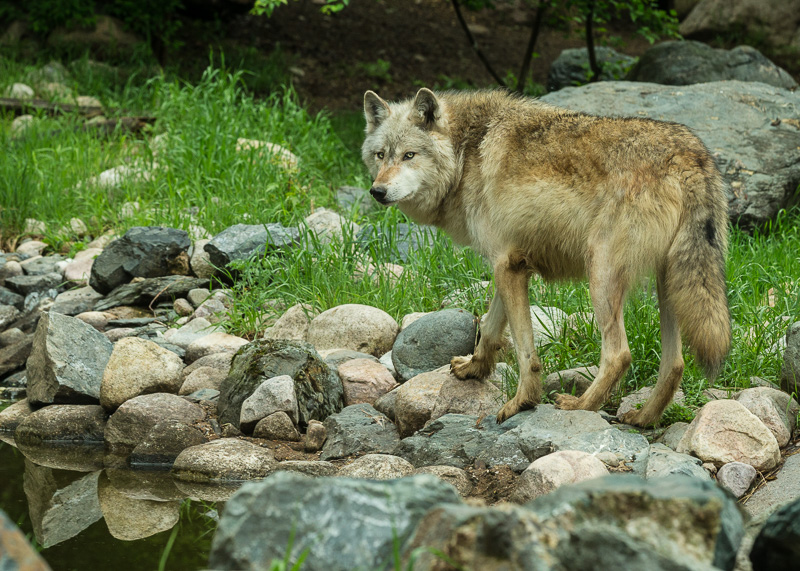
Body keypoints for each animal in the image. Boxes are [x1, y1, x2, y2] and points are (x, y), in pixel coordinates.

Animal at [361, 88, 731, 427]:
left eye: (409, 155)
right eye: (380, 155)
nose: (377, 191)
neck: (466, 154)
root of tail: (692, 155)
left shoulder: (507, 265)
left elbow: (525, 350)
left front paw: (521, 402)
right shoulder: (507, 265)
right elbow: (491, 329)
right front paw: (474, 369)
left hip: (601, 276)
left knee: (619, 355)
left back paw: (580, 406)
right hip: (670, 283)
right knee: (675, 364)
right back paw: (642, 418)